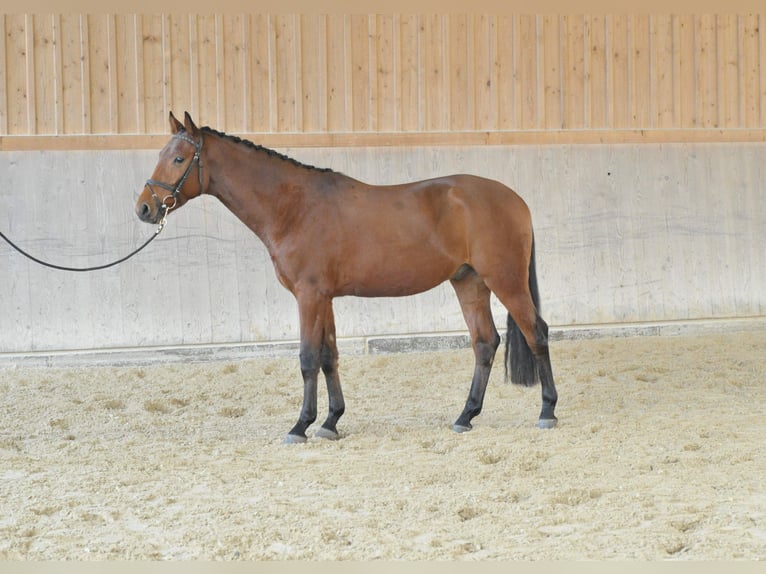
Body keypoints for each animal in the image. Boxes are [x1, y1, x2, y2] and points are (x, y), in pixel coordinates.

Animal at [136, 111, 558, 443]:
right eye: (161, 155)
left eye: (178, 158)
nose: (144, 208)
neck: (294, 207)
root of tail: (515, 200)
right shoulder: (323, 297)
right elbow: (329, 356)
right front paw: (330, 422)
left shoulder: (309, 296)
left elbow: (308, 358)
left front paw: (300, 427)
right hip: (469, 282)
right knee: (485, 343)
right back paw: (465, 416)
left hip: (505, 280)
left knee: (536, 333)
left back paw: (547, 412)